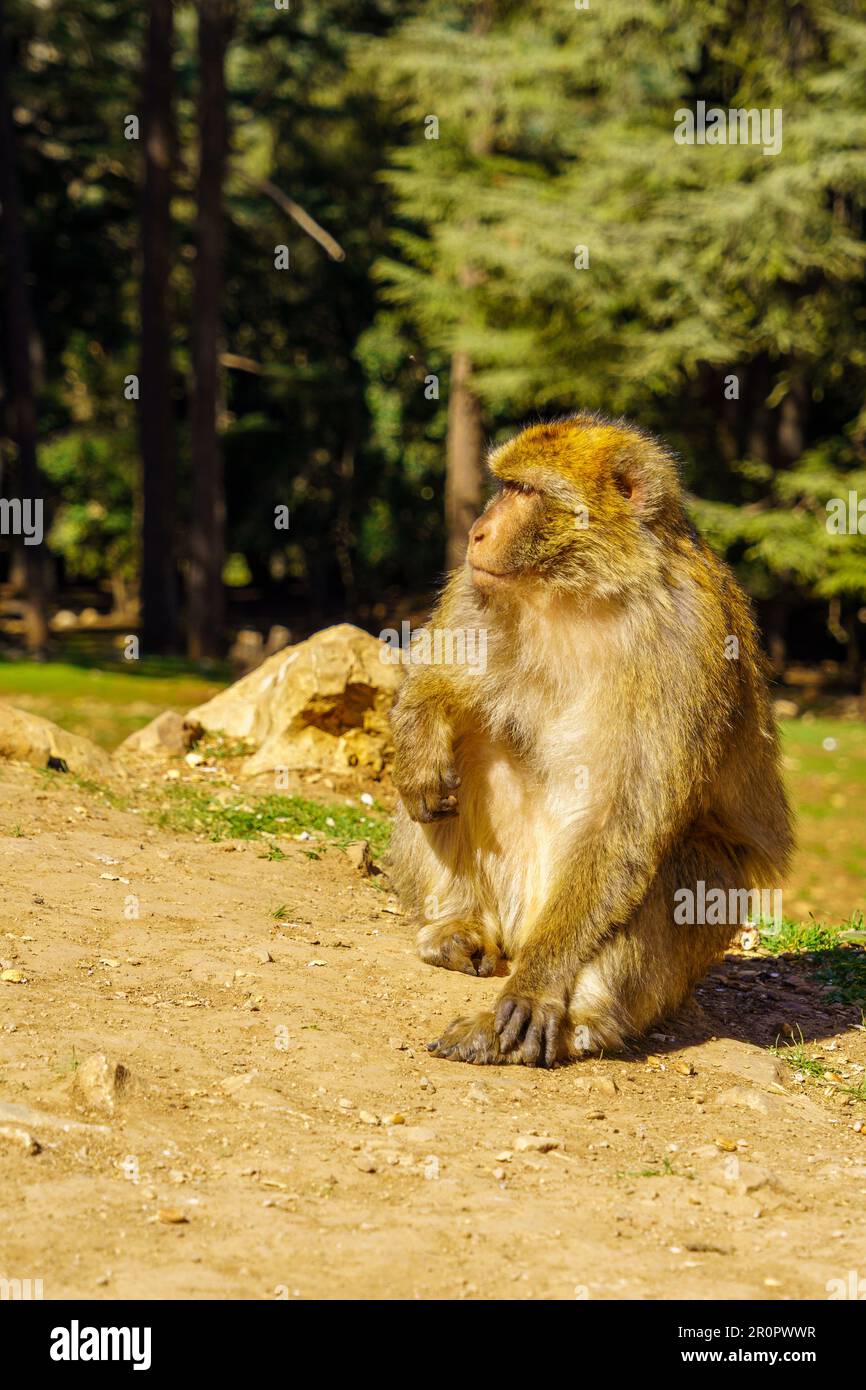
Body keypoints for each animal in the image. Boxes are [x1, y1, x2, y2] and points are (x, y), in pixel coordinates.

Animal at [389, 408, 795, 1061]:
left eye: (526, 491)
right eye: (505, 485)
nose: (476, 532)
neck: (579, 589)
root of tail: (522, 926)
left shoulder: (689, 639)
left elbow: (621, 818)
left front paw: (535, 990)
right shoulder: (478, 587)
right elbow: (443, 683)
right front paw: (420, 736)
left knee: (685, 865)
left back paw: (583, 1022)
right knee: (463, 752)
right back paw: (455, 924)